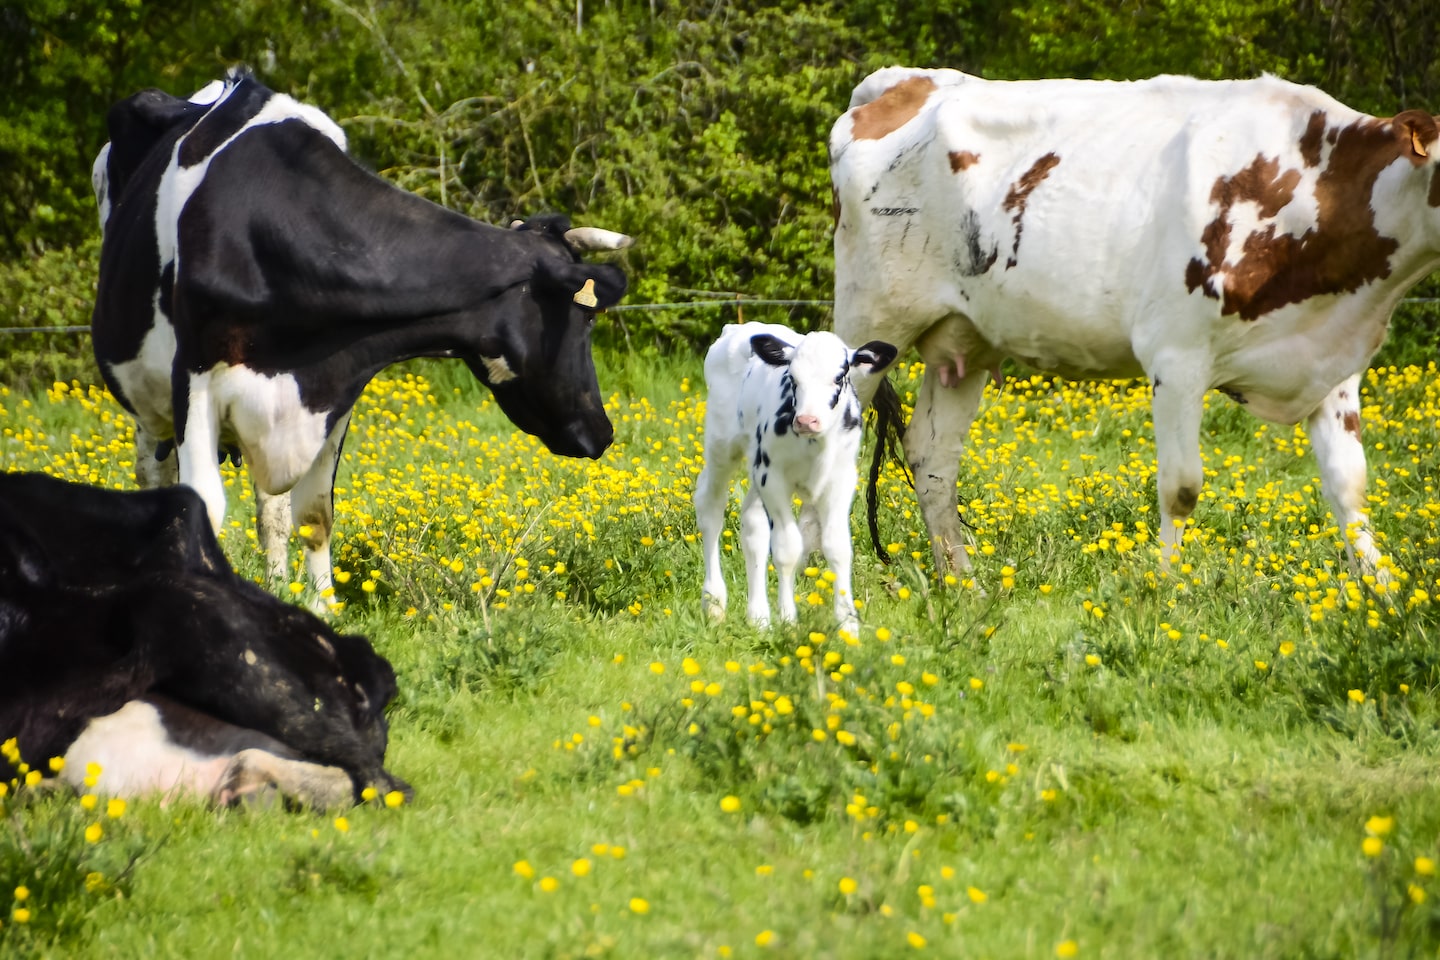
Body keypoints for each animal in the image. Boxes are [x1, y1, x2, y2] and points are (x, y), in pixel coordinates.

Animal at [91, 71, 630, 604]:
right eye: (586, 320)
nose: (603, 431)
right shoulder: (194, 380)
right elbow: (205, 507)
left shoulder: (333, 388)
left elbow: (314, 512)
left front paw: (321, 604)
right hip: (150, 397)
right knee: (154, 476)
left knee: (271, 508)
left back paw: (277, 584)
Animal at [694, 325, 892, 639]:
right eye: (792, 378)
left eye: (839, 376)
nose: (807, 420)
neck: (815, 445)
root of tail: (738, 328)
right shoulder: (773, 478)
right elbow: (788, 549)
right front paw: (788, 620)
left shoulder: (841, 479)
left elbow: (838, 547)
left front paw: (848, 625)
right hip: (722, 444)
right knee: (710, 506)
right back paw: (714, 602)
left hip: (755, 467)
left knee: (753, 524)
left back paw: (759, 617)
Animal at [835, 69, 1440, 578]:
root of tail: (907, 82)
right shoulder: (1176, 356)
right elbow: (1182, 487)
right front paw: (1166, 587)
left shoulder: (1332, 365)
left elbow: (1349, 485)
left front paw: (1382, 592)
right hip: (869, 324)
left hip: (964, 340)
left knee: (933, 457)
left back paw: (962, 580)